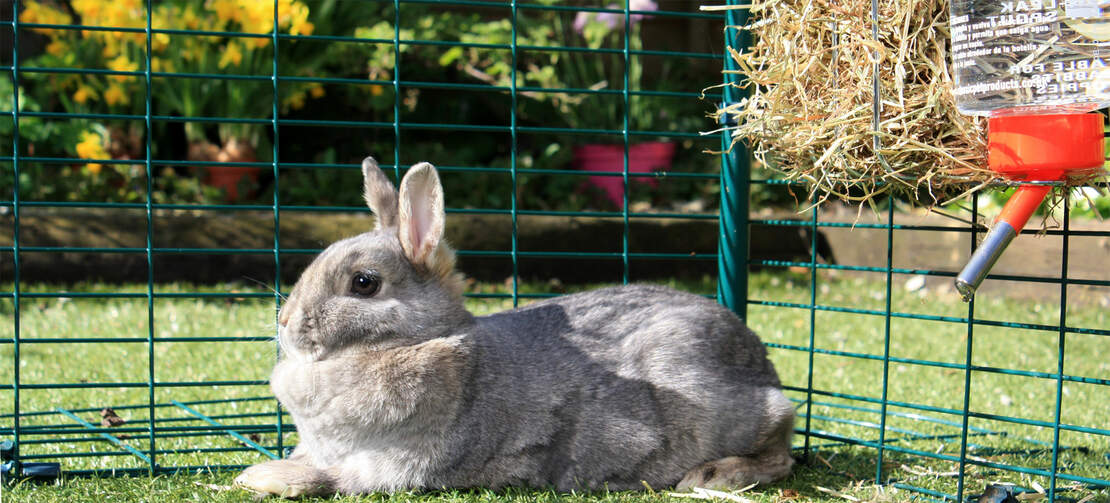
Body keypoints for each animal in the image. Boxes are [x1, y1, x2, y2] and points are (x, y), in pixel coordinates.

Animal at [234, 158, 794, 495]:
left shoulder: (402, 465)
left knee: (781, 445)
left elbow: (332, 477)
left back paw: (715, 474)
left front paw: (261, 477)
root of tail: (761, 365)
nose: (285, 323)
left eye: (364, 284)